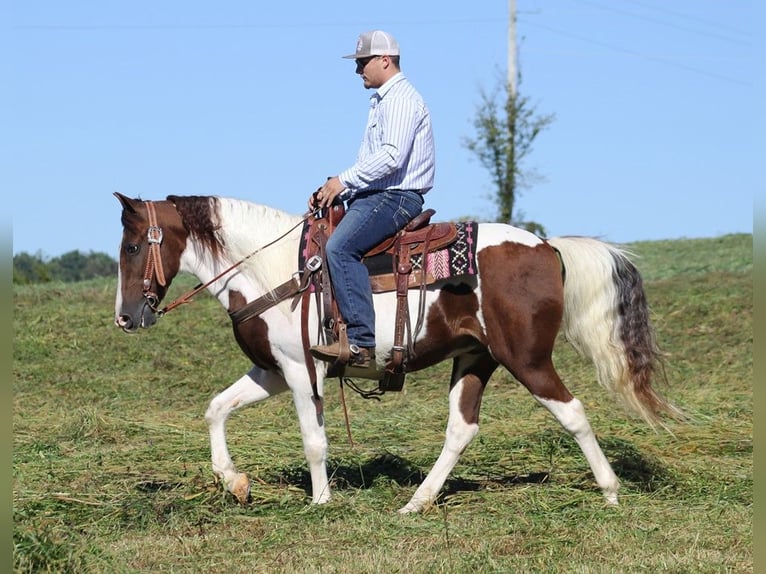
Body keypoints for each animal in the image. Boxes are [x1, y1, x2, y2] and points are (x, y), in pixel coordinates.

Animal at [112, 192, 680, 512]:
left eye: (134, 245)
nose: (125, 318)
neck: (275, 271)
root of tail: (548, 247)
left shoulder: (301, 370)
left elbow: (314, 441)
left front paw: (321, 502)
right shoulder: (272, 370)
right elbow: (216, 409)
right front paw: (234, 483)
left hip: (527, 359)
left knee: (573, 412)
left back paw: (610, 491)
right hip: (475, 359)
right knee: (462, 429)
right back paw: (417, 502)